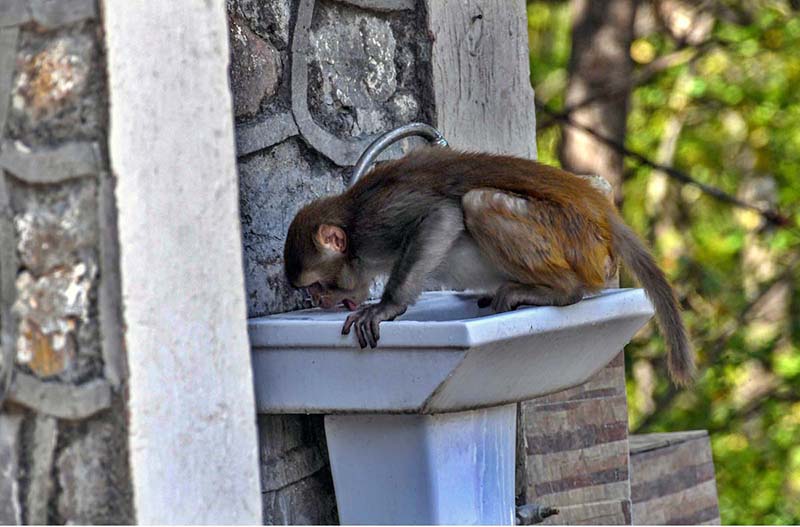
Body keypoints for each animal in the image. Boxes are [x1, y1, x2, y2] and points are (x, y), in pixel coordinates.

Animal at [284, 147, 695, 385]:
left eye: (318, 285)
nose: (318, 302)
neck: (351, 219)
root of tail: (599, 211)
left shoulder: (377, 222)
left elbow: (442, 216)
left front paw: (387, 306)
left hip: (574, 240)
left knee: (478, 202)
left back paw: (562, 291)